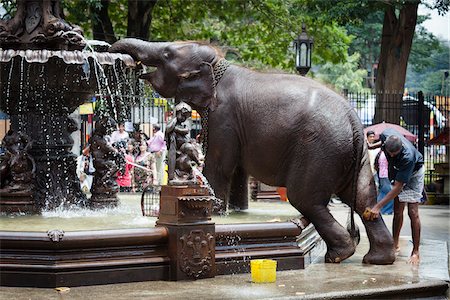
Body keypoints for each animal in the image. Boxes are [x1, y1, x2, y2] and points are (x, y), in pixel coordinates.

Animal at [110, 38, 396, 264]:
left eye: (167, 54)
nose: (124, 61)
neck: (218, 65)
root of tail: (355, 122)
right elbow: (237, 168)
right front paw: (236, 213)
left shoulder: (223, 118)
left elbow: (220, 164)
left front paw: (216, 212)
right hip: (353, 157)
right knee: (364, 199)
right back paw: (377, 259)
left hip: (320, 149)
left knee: (305, 198)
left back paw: (339, 254)